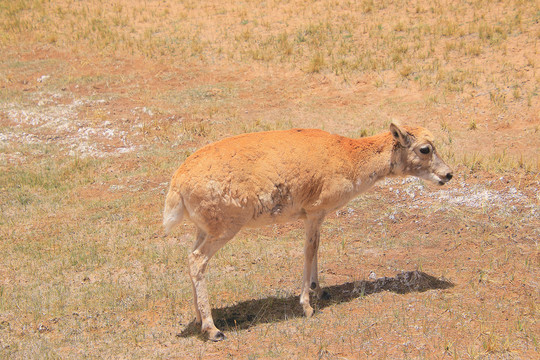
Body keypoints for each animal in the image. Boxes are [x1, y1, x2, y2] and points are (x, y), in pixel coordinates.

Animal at [162, 121, 454, 340]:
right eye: (425, 149)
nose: (449, 174)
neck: (349, 156)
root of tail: (177, 183)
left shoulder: (317, 215)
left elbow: (317, 247)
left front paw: (319, 289)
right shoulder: (314, 211)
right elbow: (309, 250)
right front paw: (307, 306)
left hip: (204, 229)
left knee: (190, 258)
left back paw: (198, 318)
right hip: (225, 228)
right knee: (197, 260)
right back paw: (212, 329)